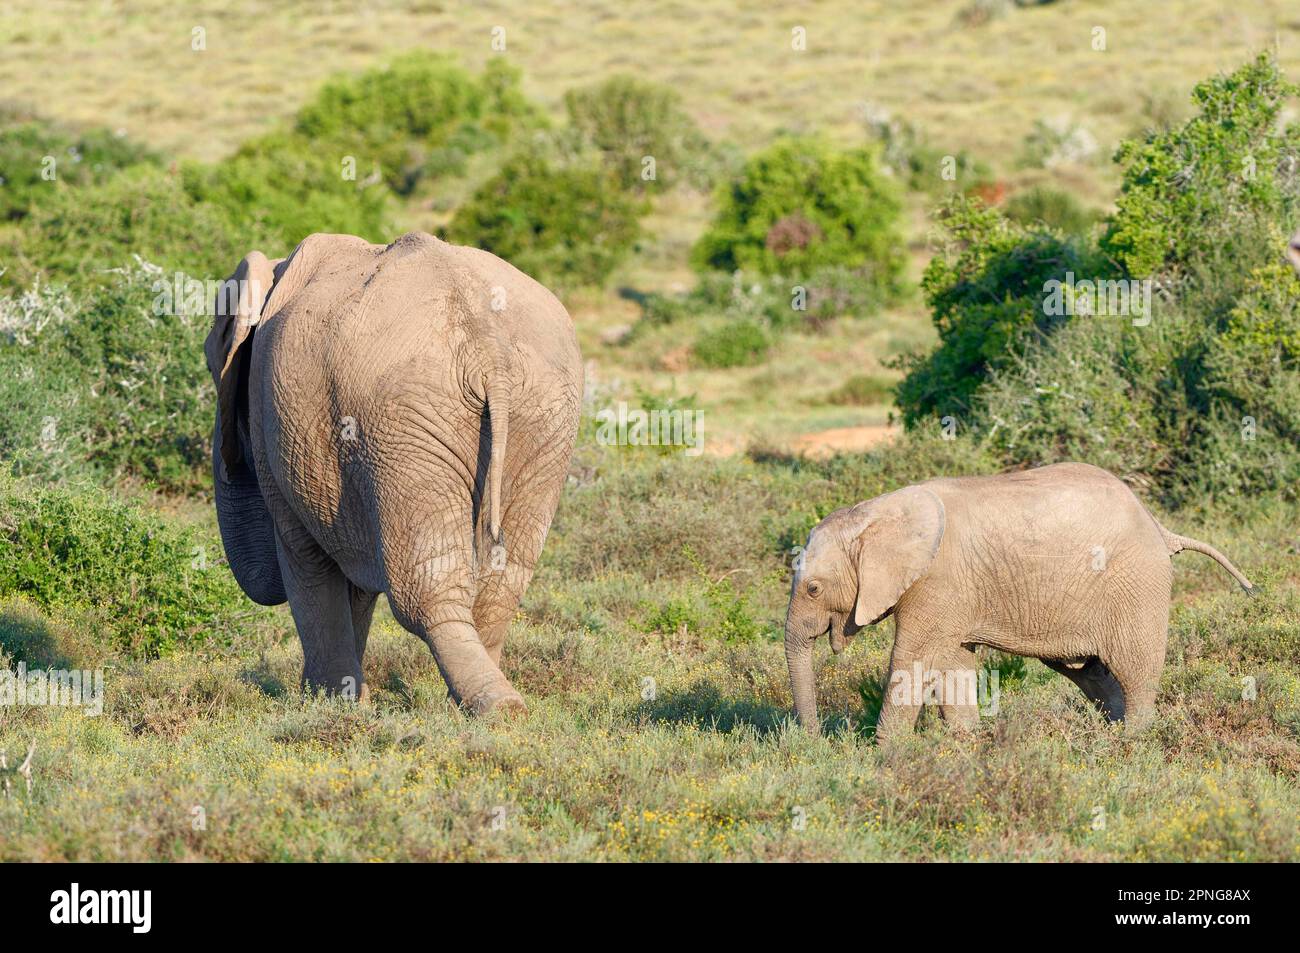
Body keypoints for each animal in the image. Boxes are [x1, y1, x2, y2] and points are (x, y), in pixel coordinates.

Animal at [205, 230, 582, 712]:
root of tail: (488, 349)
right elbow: (354, 578)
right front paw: (349, 699)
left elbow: (306, 556)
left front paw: (329, 703)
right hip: (540, 418)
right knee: (501, 584)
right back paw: (493, 700)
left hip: (403, 419)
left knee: (425, 589)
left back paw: (497, 709)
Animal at [785, 460, 1253, 738]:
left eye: (813, 588)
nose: (817, 742)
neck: (877, 512)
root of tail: (1159, 527)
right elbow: (953, 663)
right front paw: (964, 748)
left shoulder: (938, 583)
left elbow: (911, 660)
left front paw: (887, 758)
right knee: (1090, 671)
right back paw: (1109, 735)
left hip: (1136, 584)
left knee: (1134, 669)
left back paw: (1130, 743)